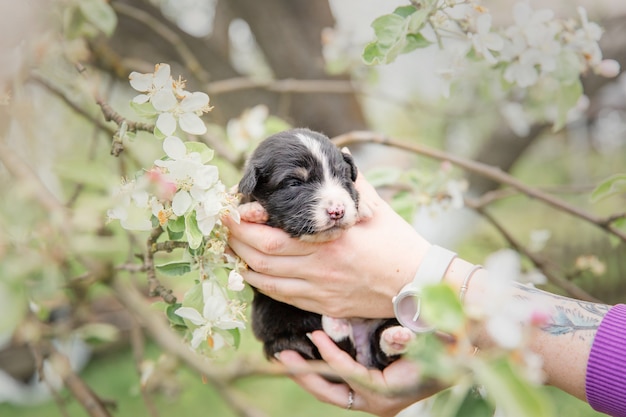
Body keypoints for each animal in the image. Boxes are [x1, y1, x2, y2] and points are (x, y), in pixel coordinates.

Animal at [236, 127, 412, 368]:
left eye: (342, 176)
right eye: (294, 183)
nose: (337, 211)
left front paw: (365, 205)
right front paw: (252, 211)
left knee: (381, 350)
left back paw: (394, 337)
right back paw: (336, 327)